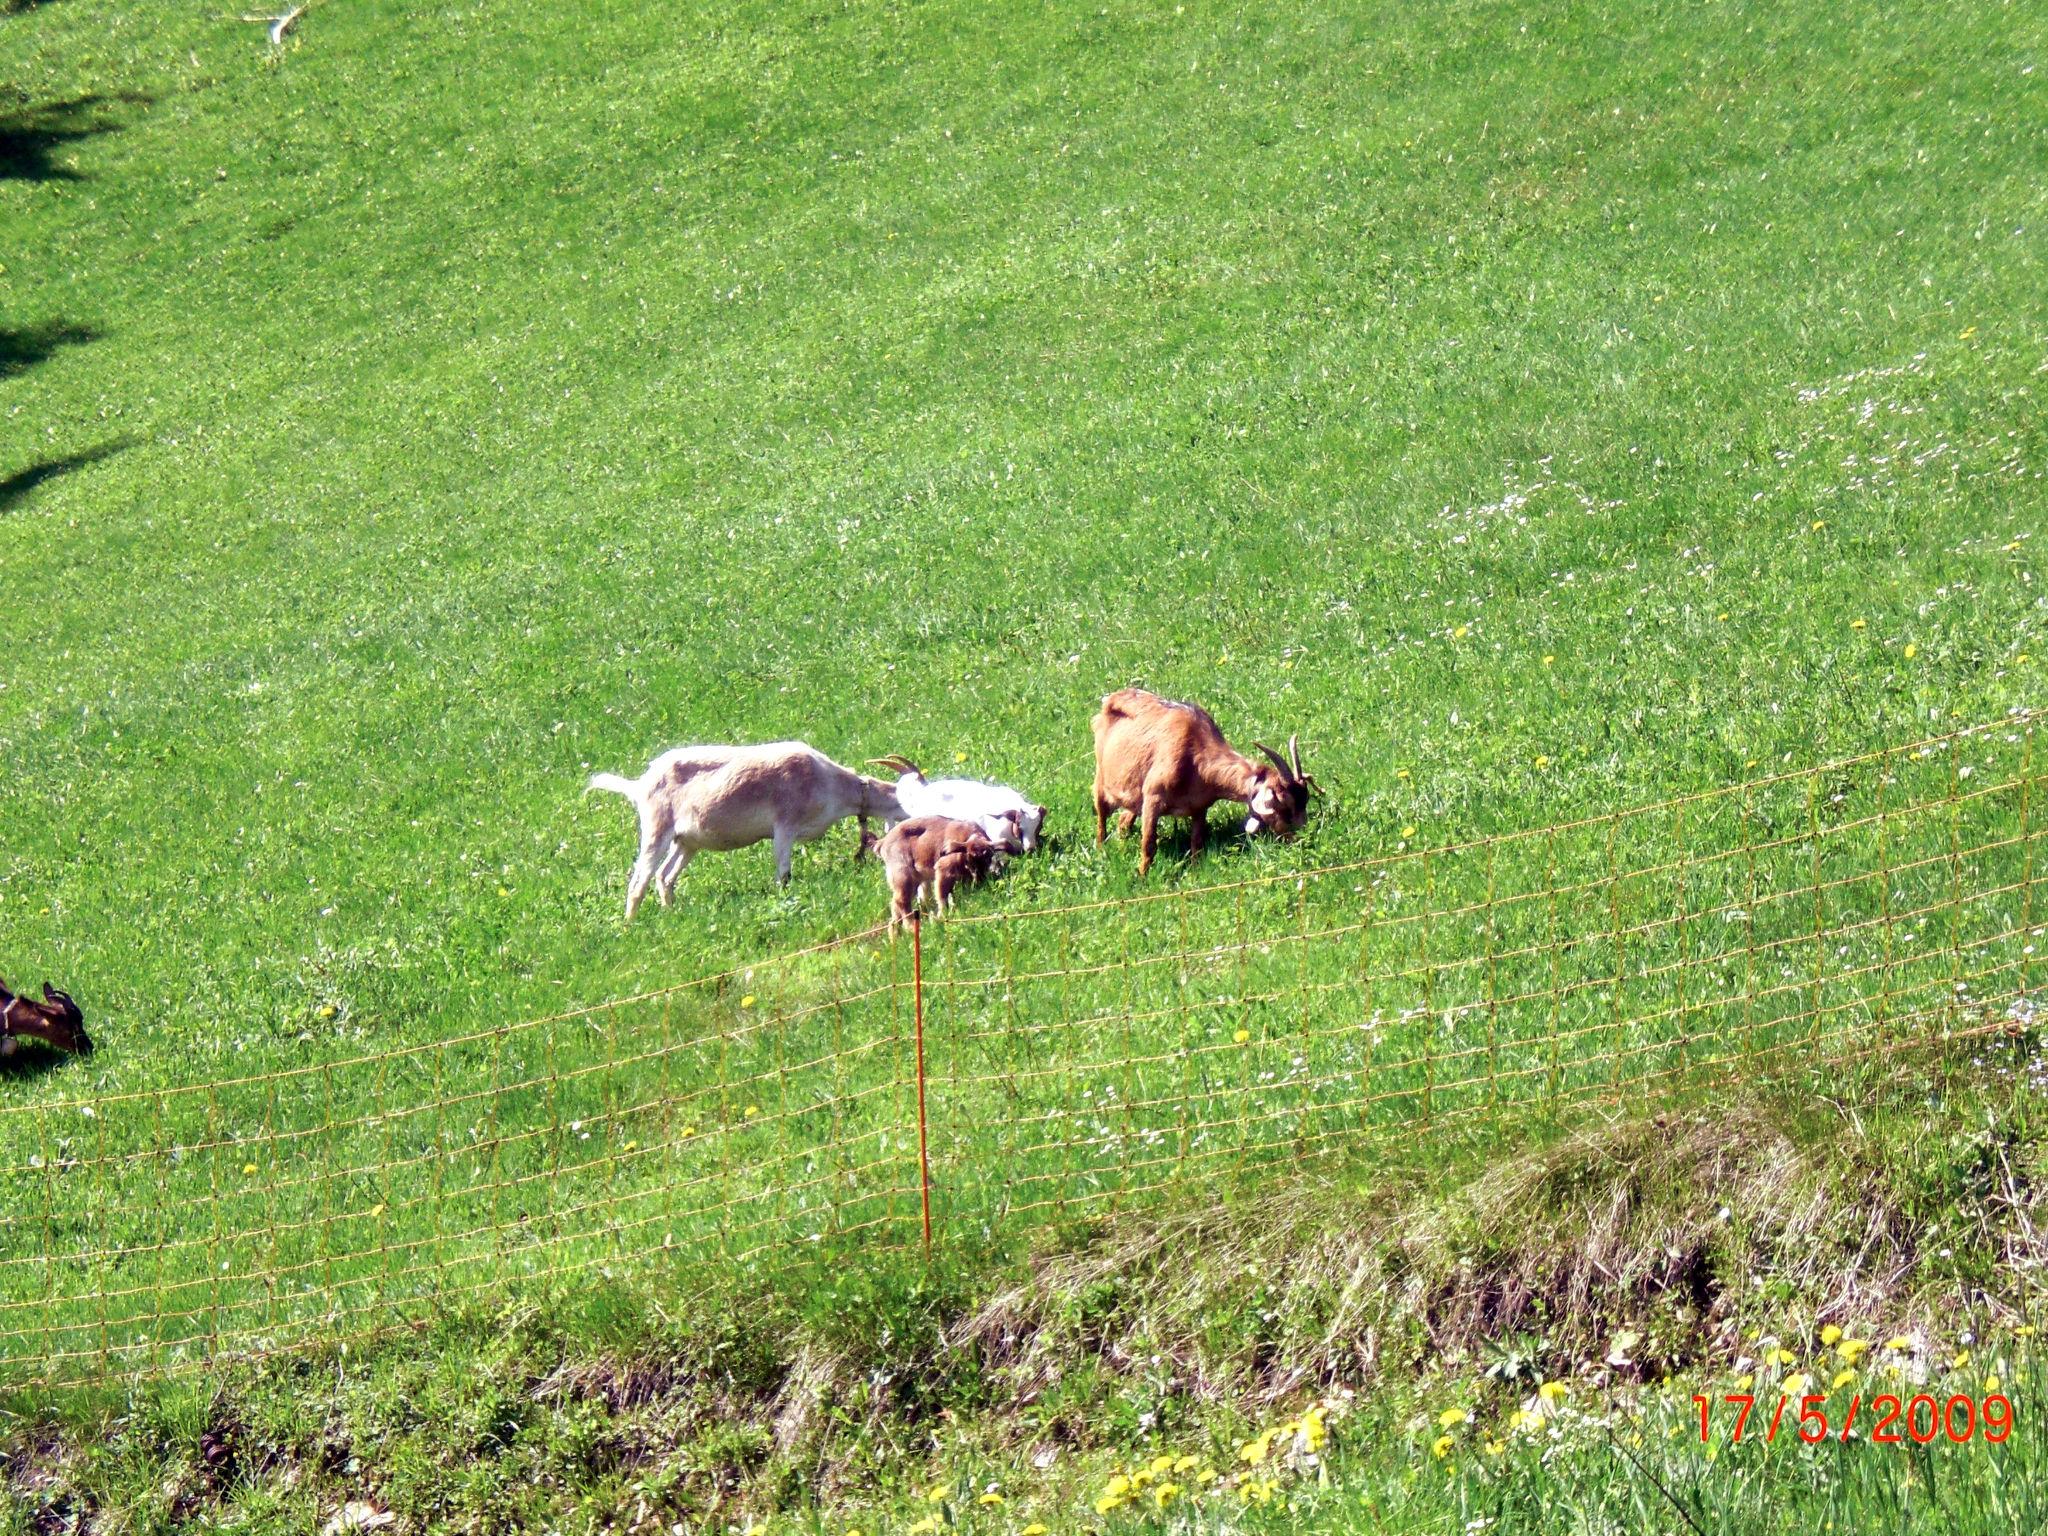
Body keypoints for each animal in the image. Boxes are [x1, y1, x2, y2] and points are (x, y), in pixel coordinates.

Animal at [589, 741, 901, 921]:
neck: (827, 782)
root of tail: (639, 784)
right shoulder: (784, 826)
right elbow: (783, 874)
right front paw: (783, 900)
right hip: (657, 827)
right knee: (639, 880)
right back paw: (630, 924)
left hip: (686, 842)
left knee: (665, 876)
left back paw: (671, 914)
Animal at [860, 819, 1003, 925]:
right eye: (970, 860)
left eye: (988, 858)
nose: (979, 880)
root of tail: (882, 842)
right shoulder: (943, 868)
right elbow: (942, 895)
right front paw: (942, 916)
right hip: (902, 873)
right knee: (901, 901)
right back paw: (911, 927)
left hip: (913, 879)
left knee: (895, 909)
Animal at [1097, 688, 1318, 876]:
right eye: (1285, 807)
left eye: (1305, 800)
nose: (1303, 838)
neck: (1194, 755)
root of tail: (1111, 698)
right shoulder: (1153, 797)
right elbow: (1149, 843)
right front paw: (1143, 876)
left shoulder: (1199, 807)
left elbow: (1197, 842)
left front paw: (1195, 872)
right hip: (1101, 779)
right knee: (1102, 815)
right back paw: (1101, 849)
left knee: (1123, 820)